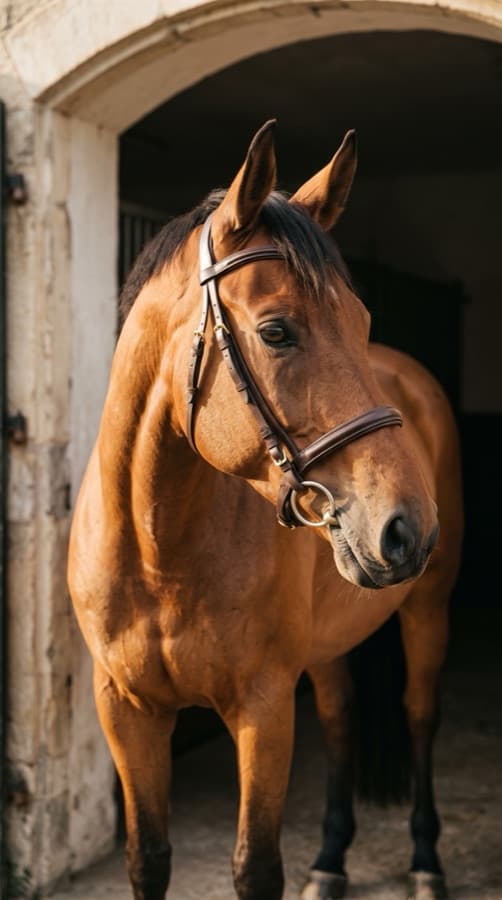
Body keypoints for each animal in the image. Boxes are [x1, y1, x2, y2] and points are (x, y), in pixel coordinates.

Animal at [68, 121, 463, 900]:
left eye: (361, 319)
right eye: (277, 331)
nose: (408, 528)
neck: (159, 552)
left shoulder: (264, 709)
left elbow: (256, 867)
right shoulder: (126, 711)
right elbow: (147, 858)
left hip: (426, 609)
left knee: (420, 715)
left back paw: (426, 862)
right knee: (340, 719)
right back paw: (331, 860)